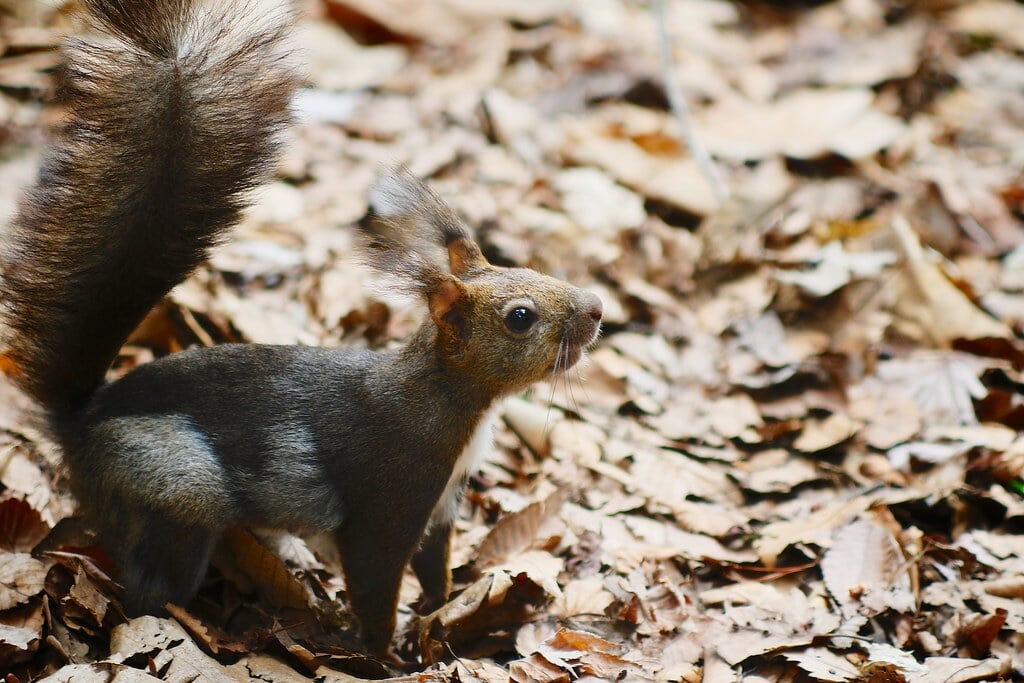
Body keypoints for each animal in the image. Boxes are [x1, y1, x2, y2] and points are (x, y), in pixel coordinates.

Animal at [0, 0, 598, 655]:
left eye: (531, 268)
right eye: (520, 316)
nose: (597, 309)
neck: (447, 399)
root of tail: (80, 423)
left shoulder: (444, 505)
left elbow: (434, 569)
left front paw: (438, 622)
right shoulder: (389, 497)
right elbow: (376, 580)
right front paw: (381, 655)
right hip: (171, 489)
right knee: (147, 586)